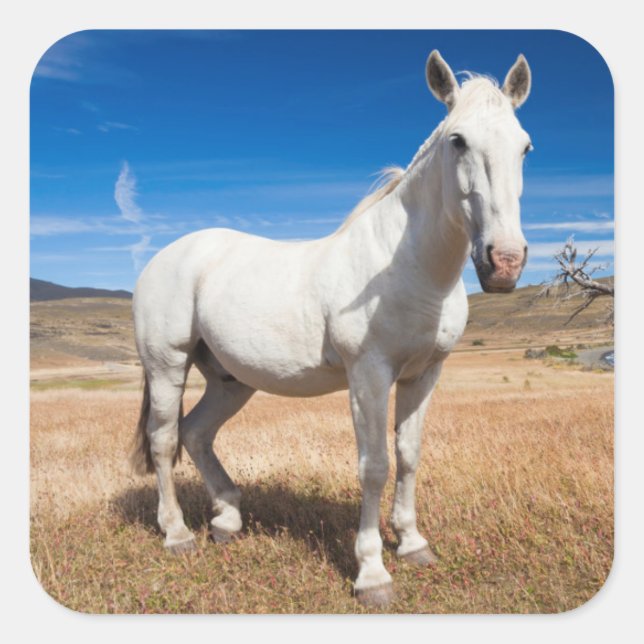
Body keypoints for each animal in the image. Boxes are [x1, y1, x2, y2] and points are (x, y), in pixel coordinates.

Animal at [131, 50, 532, 608]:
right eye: (458, 140)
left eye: (525, 146)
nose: (505, 263)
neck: (407, 267)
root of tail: (165, 256)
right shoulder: (370, 375)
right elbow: (375, 465)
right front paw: (372, 575)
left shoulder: (423, 374)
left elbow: (409, 455)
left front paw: (413, 544)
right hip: (167, 365)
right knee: (166, 440)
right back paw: (177, 534)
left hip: (231, 381)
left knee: (197, 432)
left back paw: (227, 520)